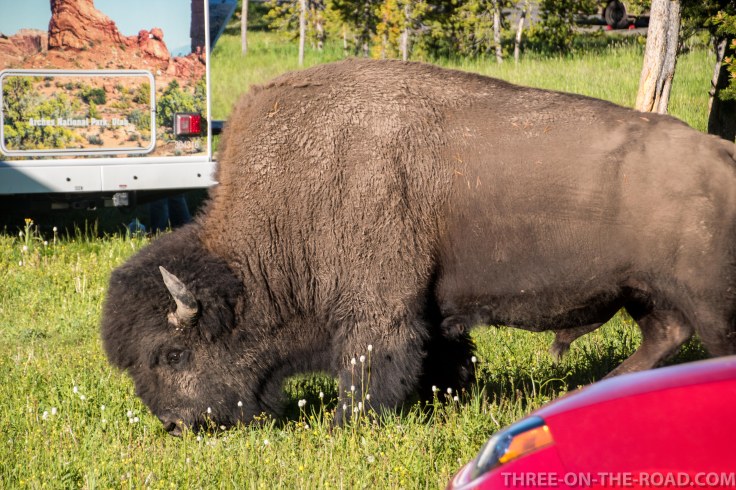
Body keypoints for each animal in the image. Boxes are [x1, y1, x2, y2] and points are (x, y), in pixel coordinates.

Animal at [102, 59, 736, 435]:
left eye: (173, 354)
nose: (176, 426)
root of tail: (722, 154)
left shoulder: (378, 311)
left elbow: (369, 366)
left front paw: (345, 426)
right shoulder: (432, 311)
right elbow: (445, 354)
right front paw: (448, 398)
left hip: (704, 299)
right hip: (647, 291)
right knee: (665, 335)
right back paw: (598, 390)